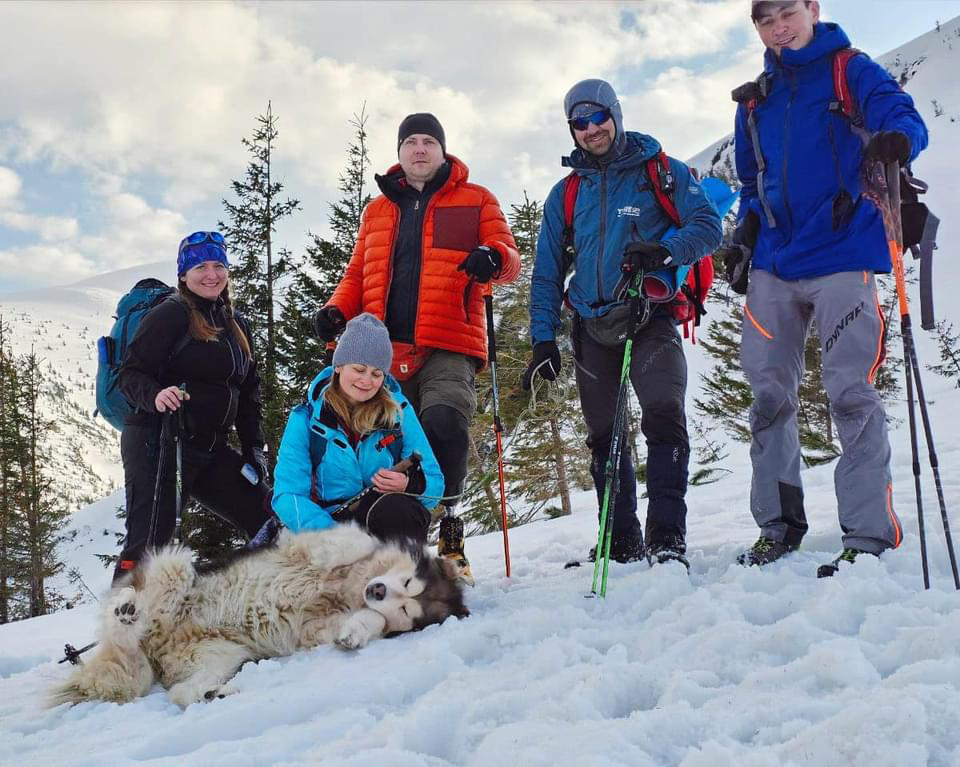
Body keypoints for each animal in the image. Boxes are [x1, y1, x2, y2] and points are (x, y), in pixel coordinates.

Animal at [51, 528, 468, 708]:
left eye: (405, 609)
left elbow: (366, 623)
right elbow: (352, 544)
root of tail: (156, 642)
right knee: (126, 618)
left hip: (222, 655)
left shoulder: (317, 628)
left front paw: (357, 631)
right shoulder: (318, 546)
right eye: (407, 582)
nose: (378, 592)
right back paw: (126, 609)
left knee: (177, 692)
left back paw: (210, 695)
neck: (346, 591)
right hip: (175, 567)